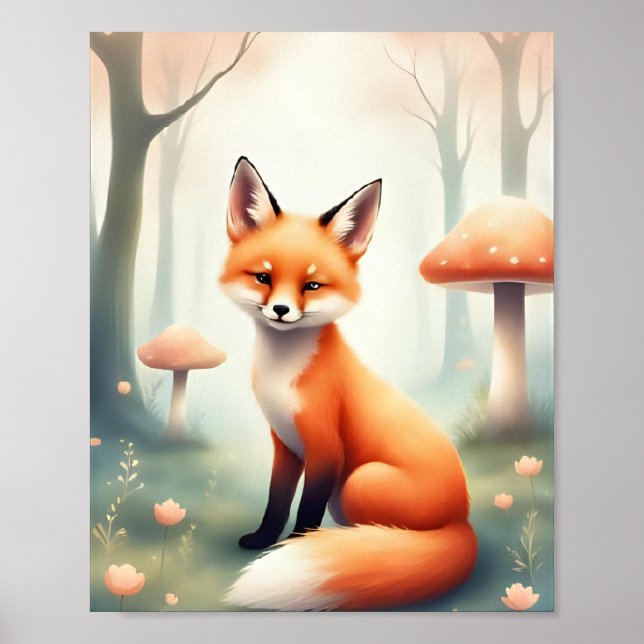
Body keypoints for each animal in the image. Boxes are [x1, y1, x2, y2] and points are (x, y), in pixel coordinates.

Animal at [220, 157, 477, 611]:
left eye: (312, 285)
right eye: (263, 278)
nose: (281, 310)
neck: (283, 374)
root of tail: (460, 519)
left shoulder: (326, 448)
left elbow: (306, 511)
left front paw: (299, 547)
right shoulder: (285, 444)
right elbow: (276, 499)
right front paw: (264, 540)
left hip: (358, 483)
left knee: (384, 536)